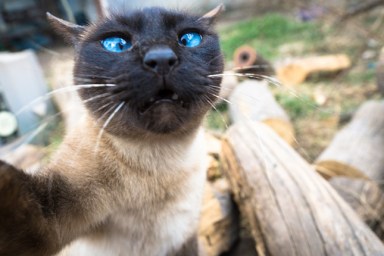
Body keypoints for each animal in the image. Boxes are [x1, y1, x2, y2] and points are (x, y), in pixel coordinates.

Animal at [0, 4, 225, 256]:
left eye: (189, 39)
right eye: (116, 44)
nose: (161, 58)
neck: (161, 161)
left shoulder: (184, 241)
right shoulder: (52, 215)